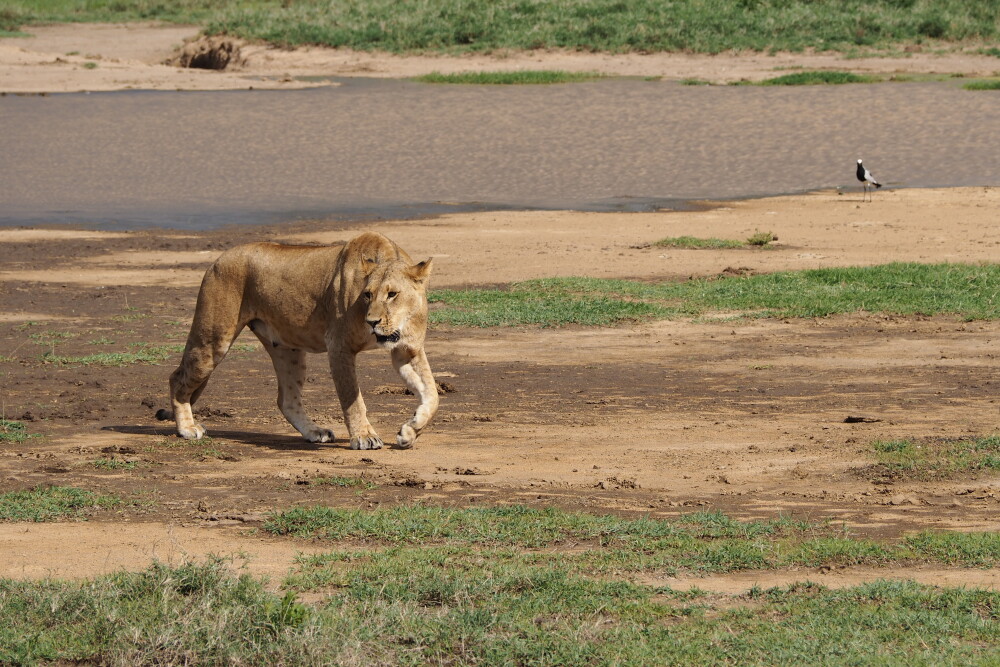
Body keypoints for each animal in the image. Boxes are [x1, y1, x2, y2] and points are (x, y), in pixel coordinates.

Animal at [157, 232, 438, 450]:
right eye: (367, 295)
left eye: (392, 294)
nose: (371, 322)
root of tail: (217, 260)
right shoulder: (339, 347)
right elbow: (352, 398)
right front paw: (364, 437)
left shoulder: (408, 351)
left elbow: (432, 395)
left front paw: (410, 431)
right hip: (213, 340)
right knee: (177, 378)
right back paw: (187, 428)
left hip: (288, 350)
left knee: (286, 400)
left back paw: (315, 431)